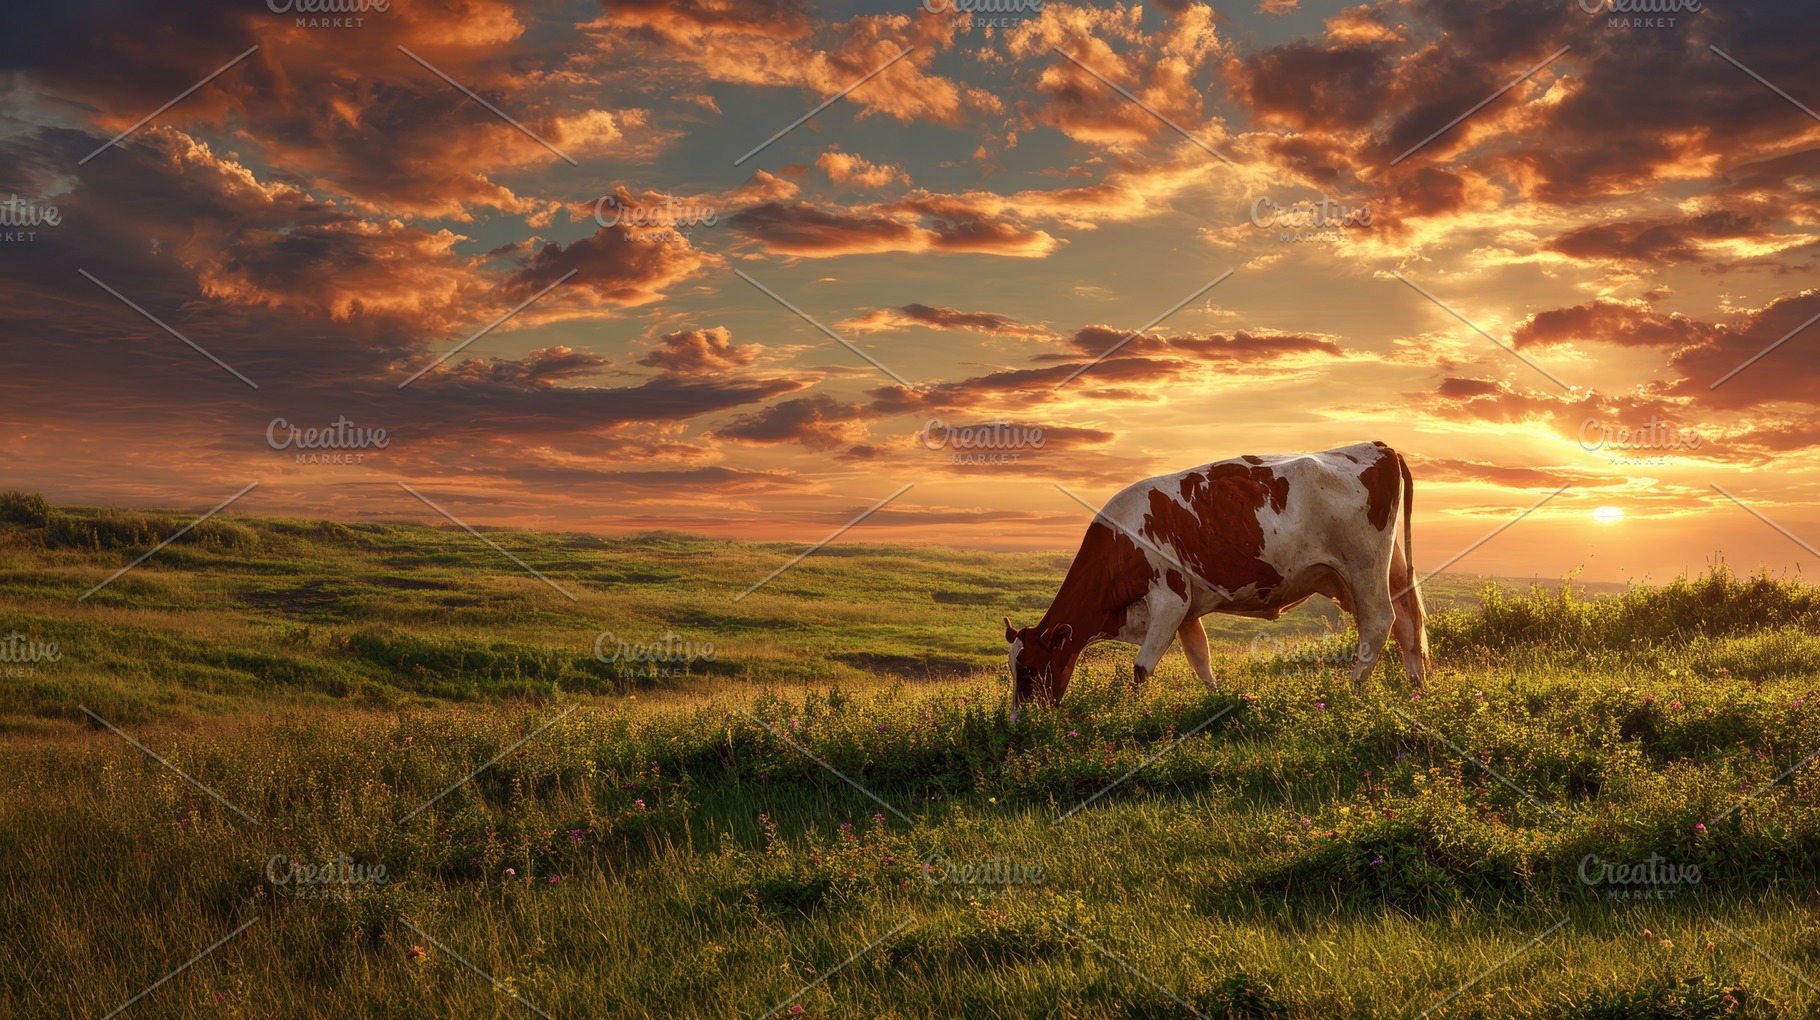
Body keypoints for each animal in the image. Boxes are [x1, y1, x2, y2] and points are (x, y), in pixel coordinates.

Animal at [1005, 442, 1426, 721]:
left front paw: (1130, 714)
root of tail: (1378, 446)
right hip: (1390, 566)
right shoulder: (1186, 609)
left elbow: (1142, 668)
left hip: (1363, 564)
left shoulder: (1169, 600)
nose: (1018, 724)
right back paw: (1417, 689)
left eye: (1030, 669)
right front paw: (1217, 702)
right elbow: (1200, 659)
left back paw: (1351, 689)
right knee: (1409, 620)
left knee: (1379, 622)